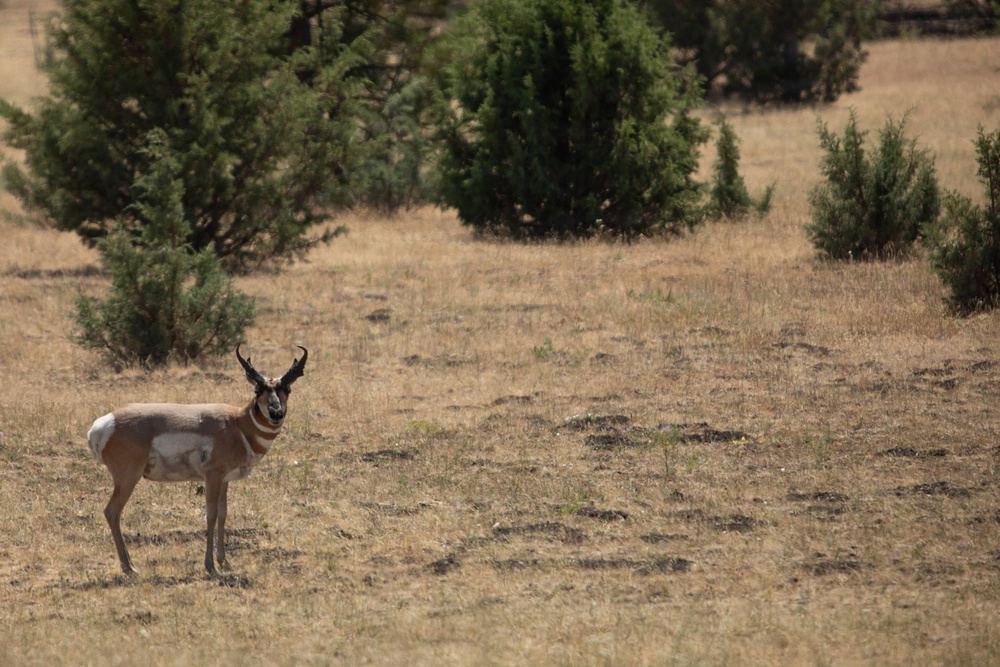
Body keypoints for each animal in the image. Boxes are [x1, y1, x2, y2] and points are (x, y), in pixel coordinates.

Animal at [87, 345, 308, 576]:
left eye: (287, 389)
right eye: (258, 390)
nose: (276, 413)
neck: (237, 423)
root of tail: (104, 423)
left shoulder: (224, 480)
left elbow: (223, 513)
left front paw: (224, 561)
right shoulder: (212, 476)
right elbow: (211, 514)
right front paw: (210, 565)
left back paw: (129, 565)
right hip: (129, 477)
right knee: (112, 511)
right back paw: (129, 567)